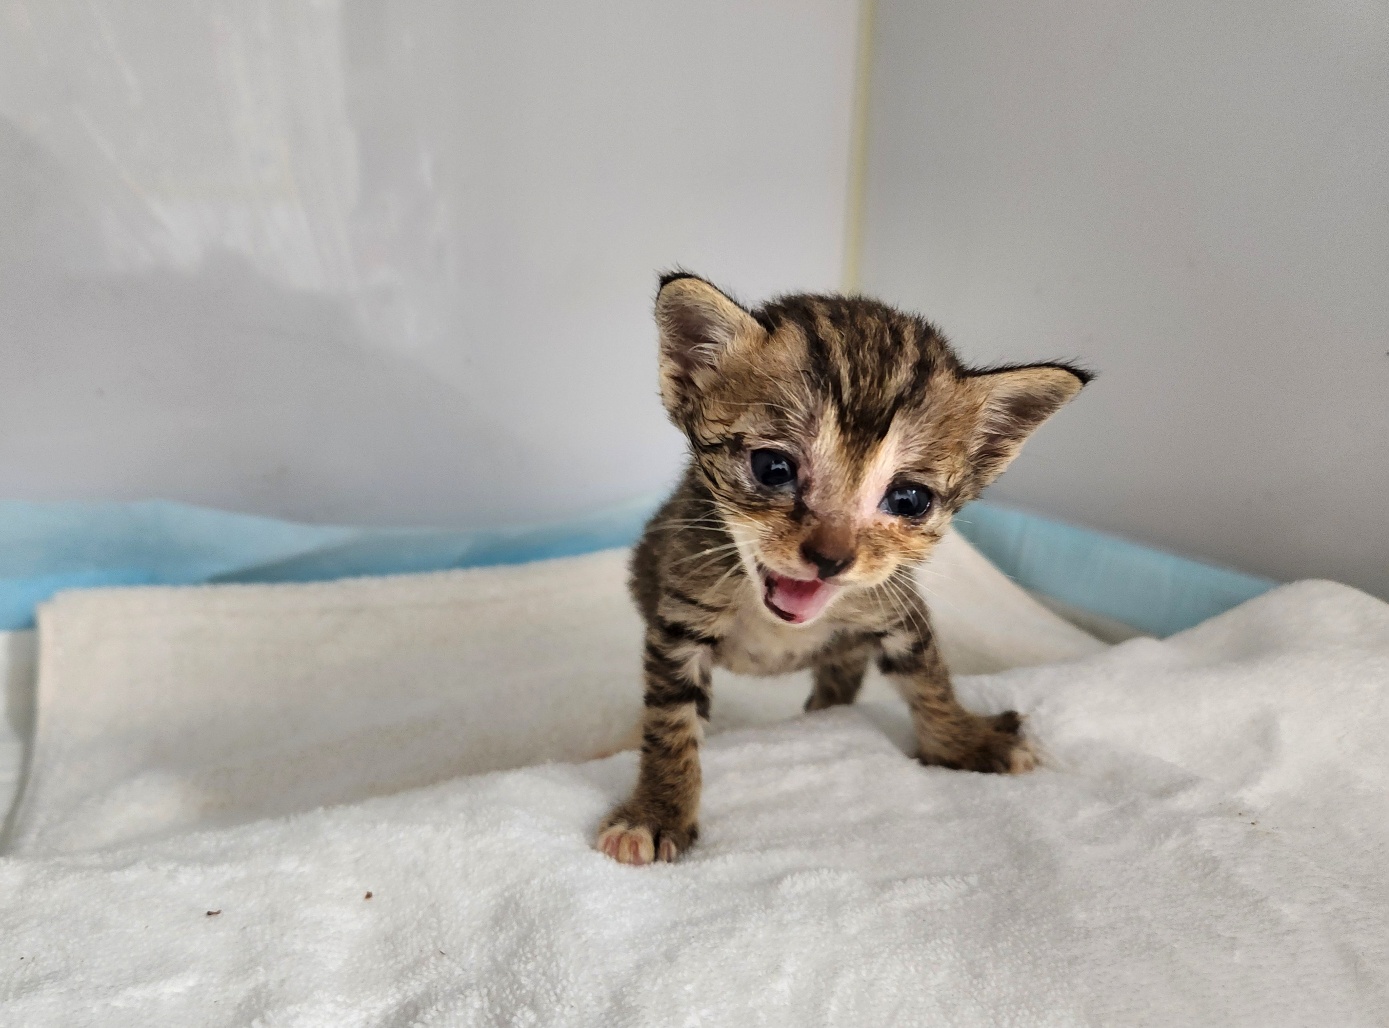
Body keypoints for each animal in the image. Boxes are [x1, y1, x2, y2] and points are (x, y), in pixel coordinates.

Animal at [591, 269, 1088, 861]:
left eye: (909, 499)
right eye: (773, 467)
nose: (831, 557)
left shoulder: (897, 604)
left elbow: (931, 683)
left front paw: (963, 741)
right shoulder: (681, 614)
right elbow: (670, 723)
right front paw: (657, 810)